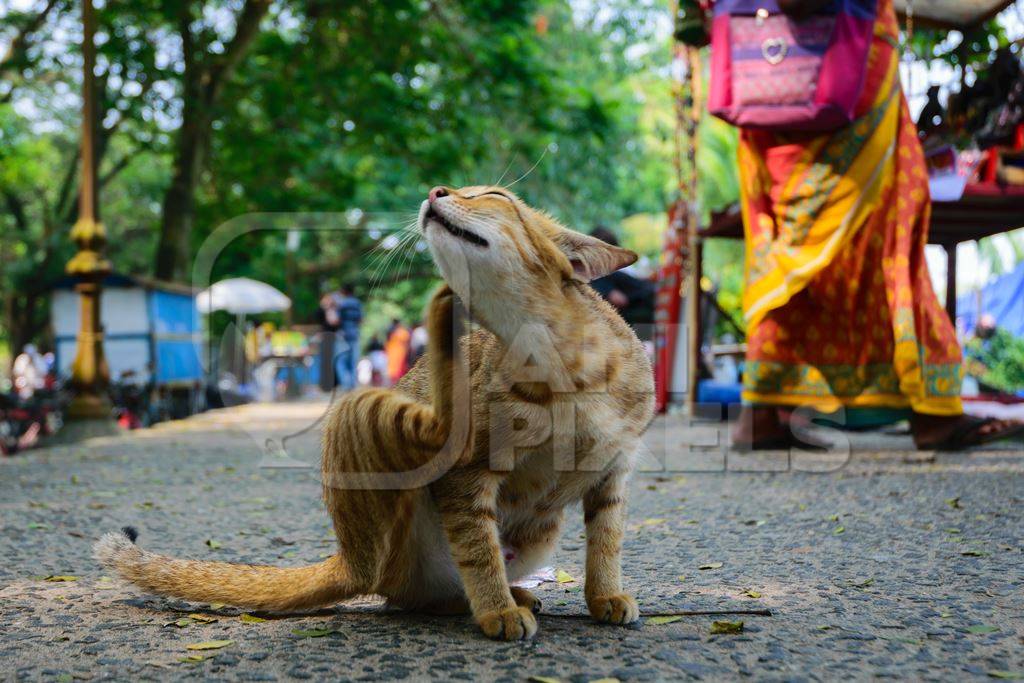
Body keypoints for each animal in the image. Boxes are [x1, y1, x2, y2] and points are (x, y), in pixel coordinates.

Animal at [96, 185, 655, 643]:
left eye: (494, 194)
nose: (436, 190)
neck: (559, 366)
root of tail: (351, 560)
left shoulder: (614, 471)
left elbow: (606, 543)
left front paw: (604, 595)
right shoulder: (469, 474)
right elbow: (479, 549)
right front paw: (496, 608)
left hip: (540, 532)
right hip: (364, 425)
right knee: (435, 462)